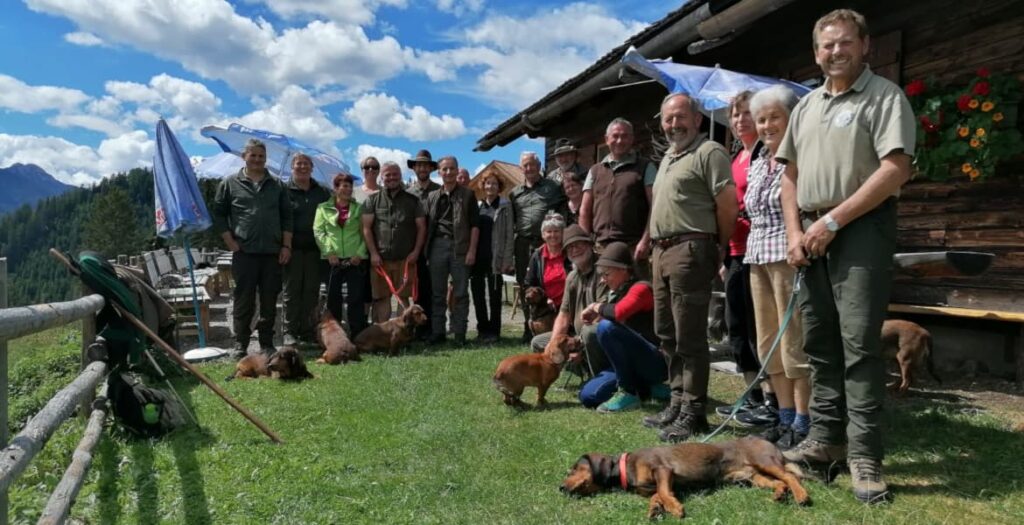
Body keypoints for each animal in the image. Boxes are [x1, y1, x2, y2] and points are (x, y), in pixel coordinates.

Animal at [561, 435, 806, 517]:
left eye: (574, 468)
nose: (560, 488)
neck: (625, 468)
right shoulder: (659, 483)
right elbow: (657, 495)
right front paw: (655, 508)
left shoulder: (662, 470)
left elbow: (662, 492)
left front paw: (674, 508)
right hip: (752, 477)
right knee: (779, 481)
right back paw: (780, 493)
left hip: (764, 461)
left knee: (791, 477)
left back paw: (801, 495)